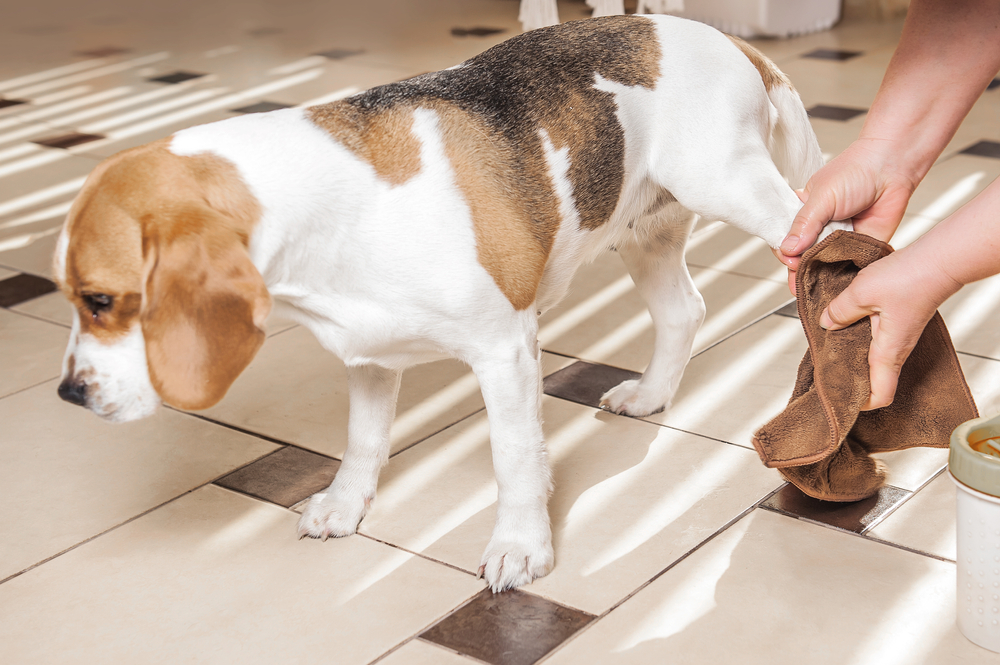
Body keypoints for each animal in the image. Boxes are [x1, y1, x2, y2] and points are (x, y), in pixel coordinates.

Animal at [50, 15, 840, 588]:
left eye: (101, 299)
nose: (68, 393)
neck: (333, 205)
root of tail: (723, 37)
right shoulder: (368, 358)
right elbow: (363, 442)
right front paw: (344, 505)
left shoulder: (505, 353)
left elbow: (514, 458)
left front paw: (521, 547)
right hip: (644, 232)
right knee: (684, 311)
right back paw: (651, 395)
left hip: (740, 191)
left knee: (825, 237)